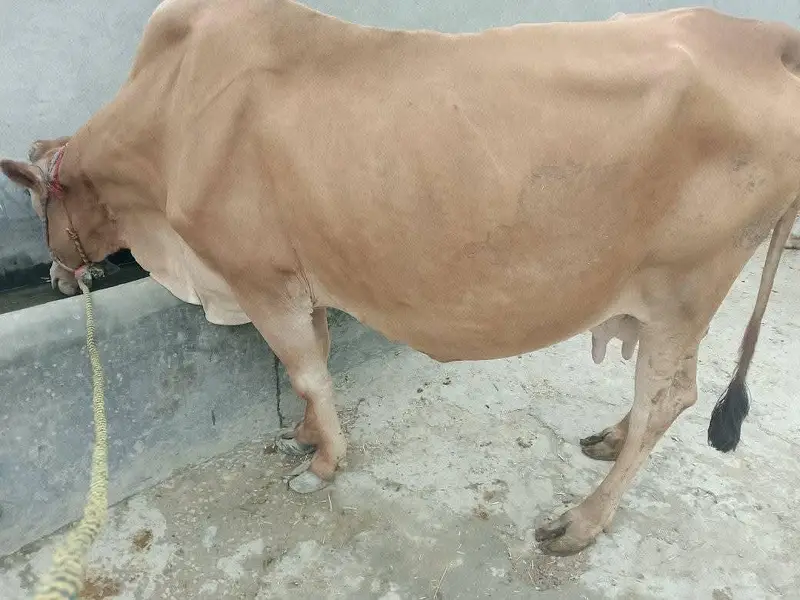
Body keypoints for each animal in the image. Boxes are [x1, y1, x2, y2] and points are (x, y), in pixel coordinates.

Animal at [2, 0, 799, 556]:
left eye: (38, 204)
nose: (59, 277)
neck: (168, 118)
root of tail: (760, 36)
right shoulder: (303, 277)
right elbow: (315, 366)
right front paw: (303, 436)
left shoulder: (262, 279)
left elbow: (307, 371)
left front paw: (323, 462)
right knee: (665, 396)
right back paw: (608, 438)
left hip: (684, 289)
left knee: (670, 398)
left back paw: (580, 521)